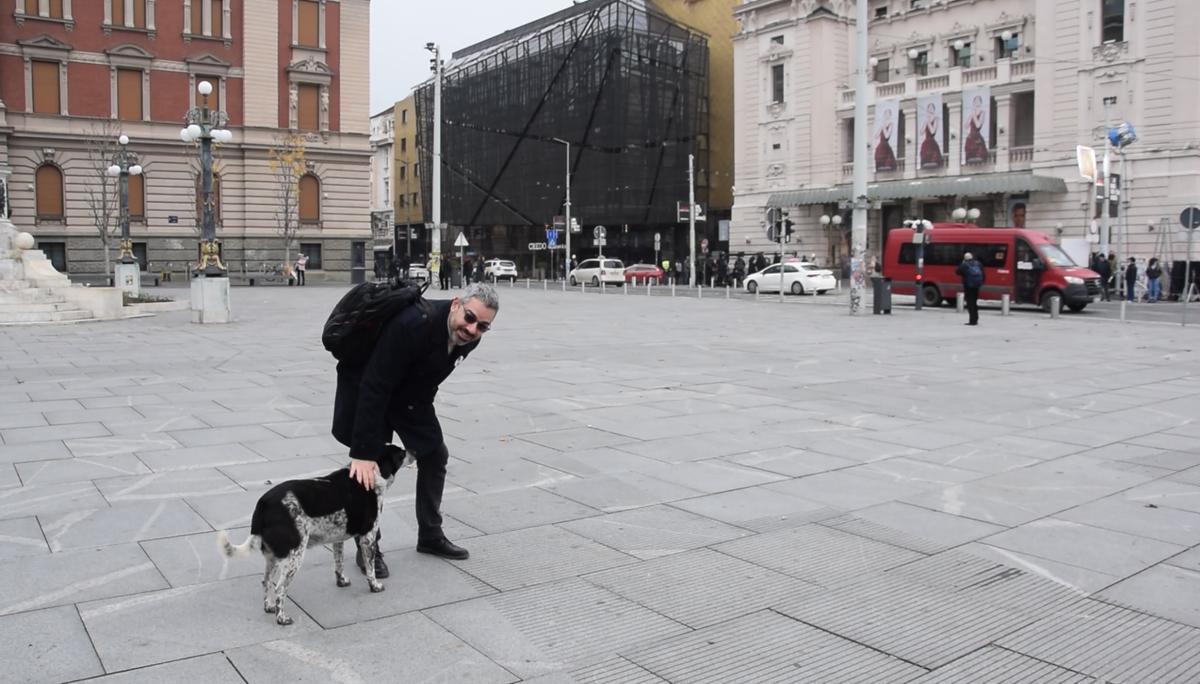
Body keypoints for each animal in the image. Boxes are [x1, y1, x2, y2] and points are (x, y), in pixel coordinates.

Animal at [213, 441, 405, 624]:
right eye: (401, 454)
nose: (411, 451)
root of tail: (263, 505)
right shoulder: (368, 537)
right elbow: (370, 568)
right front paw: (375, 586)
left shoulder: (338, 539)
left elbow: (339, 563)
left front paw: (341, 581)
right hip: (294, 556)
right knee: (280, 588)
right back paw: (281, 618)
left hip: (272, 556)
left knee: (266, 581)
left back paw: (269, 607)